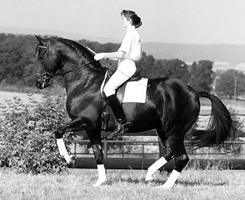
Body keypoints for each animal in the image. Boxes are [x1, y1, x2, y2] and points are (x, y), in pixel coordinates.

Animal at [34, 35, 234, 188]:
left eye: (42, 55)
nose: (39, 83)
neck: (85, 80)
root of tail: (194, 92)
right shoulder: (93, 127)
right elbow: (98, 153)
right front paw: (100, 181)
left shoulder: (86, 121)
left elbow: (58, 130)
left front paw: (68, 159)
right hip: (163, 129)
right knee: (169, 152)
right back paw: (149, 175)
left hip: (175, 130)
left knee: (182, 157)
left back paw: (165, 186)